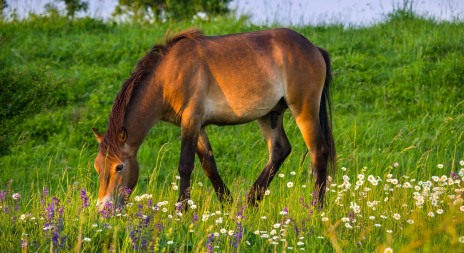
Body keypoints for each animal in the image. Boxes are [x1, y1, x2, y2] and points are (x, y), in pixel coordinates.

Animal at [91, 27, 338, 211]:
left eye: (119, 167)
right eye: (97, 167)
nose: (103, 208)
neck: (168, 75)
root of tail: (314, 48)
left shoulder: (191, 119)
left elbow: (185, 165)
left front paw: (180, 210)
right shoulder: (197, 126)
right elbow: (209, 166)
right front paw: (227, 204)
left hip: (304, 109)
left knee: (318, 152)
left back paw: (318, 208)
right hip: (269, 115)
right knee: (279, 150)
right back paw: (250, 202)